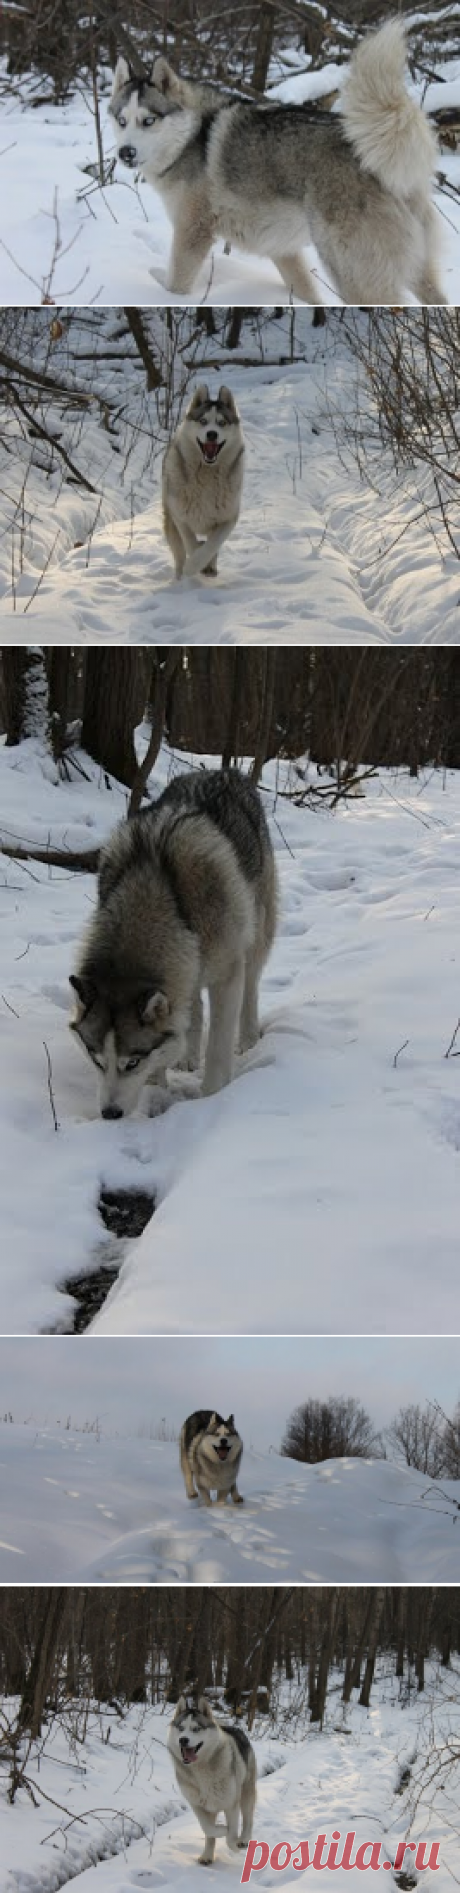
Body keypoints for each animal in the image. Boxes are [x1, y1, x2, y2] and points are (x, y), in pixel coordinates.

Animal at [68, 768, 276, 1120]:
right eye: (97, 1059)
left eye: (132, 1062)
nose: (110, 1114)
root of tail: (223, 771)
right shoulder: (181, 969)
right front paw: (156, 1089)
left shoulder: (227, 974)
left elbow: (217, 1049)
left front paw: (213, 1100)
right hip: (190, 967)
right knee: (193, 1009)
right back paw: (188, 1057)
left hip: (256, 932)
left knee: (252, 985)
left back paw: (248, 1040)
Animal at [108, 22, 444, 304]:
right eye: (122, 121)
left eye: (148, 121)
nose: (125, 153)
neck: (192, 136)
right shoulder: (282, 250)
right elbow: (309, 295)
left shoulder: (193, 231)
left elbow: (176, 286)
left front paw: (166, 299)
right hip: (417, 273)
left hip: (351, 272)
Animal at [161, 388, 244, 579]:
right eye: (203, 421)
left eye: (222, 422)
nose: (211, 434)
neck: (207, 472)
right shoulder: (180, 517)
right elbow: (190, 543)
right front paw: (193, 566)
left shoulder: (228, 518)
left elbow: (212, 545)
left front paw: (200, 564)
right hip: (170, 522)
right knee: (179, 554)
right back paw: (180, 578)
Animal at [168, 1703, 257, 1862]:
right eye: (181, 1728)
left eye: (196, 1729)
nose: (183, 1740)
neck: (201, 1769)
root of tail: (233, 1728)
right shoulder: (198, 1805)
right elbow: (208, 1829)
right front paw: (222, 1830)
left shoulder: (231, 1804)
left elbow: (231, 1836)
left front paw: (234, 1845)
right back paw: (207, 1856)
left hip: (246, 1791)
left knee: (248, 1818)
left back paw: (243, 1840)